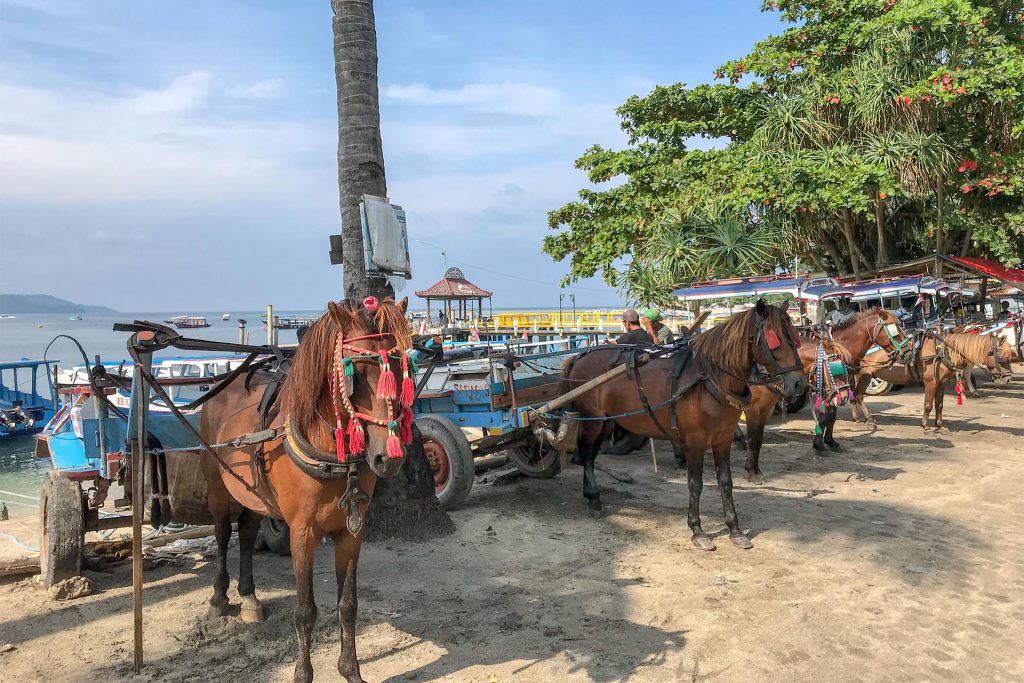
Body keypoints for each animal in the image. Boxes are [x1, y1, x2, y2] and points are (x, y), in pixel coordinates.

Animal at [197, 296, 409, 683]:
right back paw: (219, 599)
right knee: (222, 534)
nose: (389, 456)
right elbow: (305, 611)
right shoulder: (302, 533)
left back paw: (249, 597)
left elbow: (348, 605)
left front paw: (350, 670)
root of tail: (221, 388)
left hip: (257, 497)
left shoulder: (352, 532)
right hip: (218, 487)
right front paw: (302, 674)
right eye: (355, 374)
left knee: (247, 533)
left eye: (403, 370)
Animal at [561, 301, 806, 552]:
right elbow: (695, 484)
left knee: (591, 454)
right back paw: (593, 497)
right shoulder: (695, 443)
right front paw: (697, 530)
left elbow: (726, 482)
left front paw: (734, 529)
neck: (709, 380)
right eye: (774, 338)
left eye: (794, 337)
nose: (799, 383)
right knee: (586, 454)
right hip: (592, 420)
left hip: (608, 422)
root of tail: (580, 356)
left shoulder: (723, 440)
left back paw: (591, 495)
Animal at [741, 307, 909, 483]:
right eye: (895, 328)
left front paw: (829, 442)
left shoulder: (833, 390)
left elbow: (831, 416)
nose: (908, 352)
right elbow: (826, 416)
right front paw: (820, 444)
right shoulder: (827, 389)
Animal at [851, 331, 1011, 432]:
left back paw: (859, 418)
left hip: (864, 376)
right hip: (863, 375)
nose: (1008, 378)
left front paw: (940, 426)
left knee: (856, 396)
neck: (942, 352)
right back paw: (866, 419)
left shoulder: (942, 383)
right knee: (857, 396)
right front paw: (926, 426)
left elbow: (939, 405)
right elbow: (928, 405)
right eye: (1003, 355)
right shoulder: (931, 383)